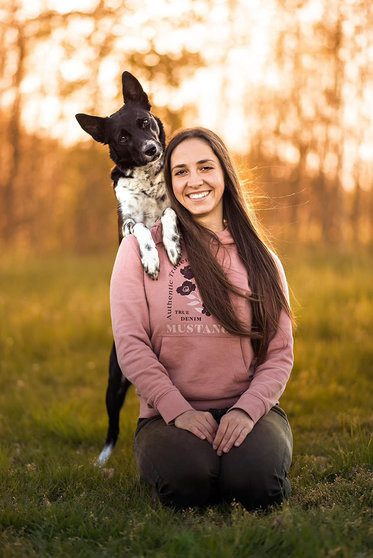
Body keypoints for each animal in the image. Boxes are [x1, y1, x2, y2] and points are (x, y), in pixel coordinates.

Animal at [75, 71, 180, 468]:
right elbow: (141, 231)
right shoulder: (125, 228)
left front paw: (173, 244)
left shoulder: (174, 207)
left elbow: (168, 214)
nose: (150, 149)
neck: (147, 181)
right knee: (113, 427)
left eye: (145, 122)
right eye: (122, 137)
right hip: (115, 380)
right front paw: (151, 260)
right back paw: (102, 460)